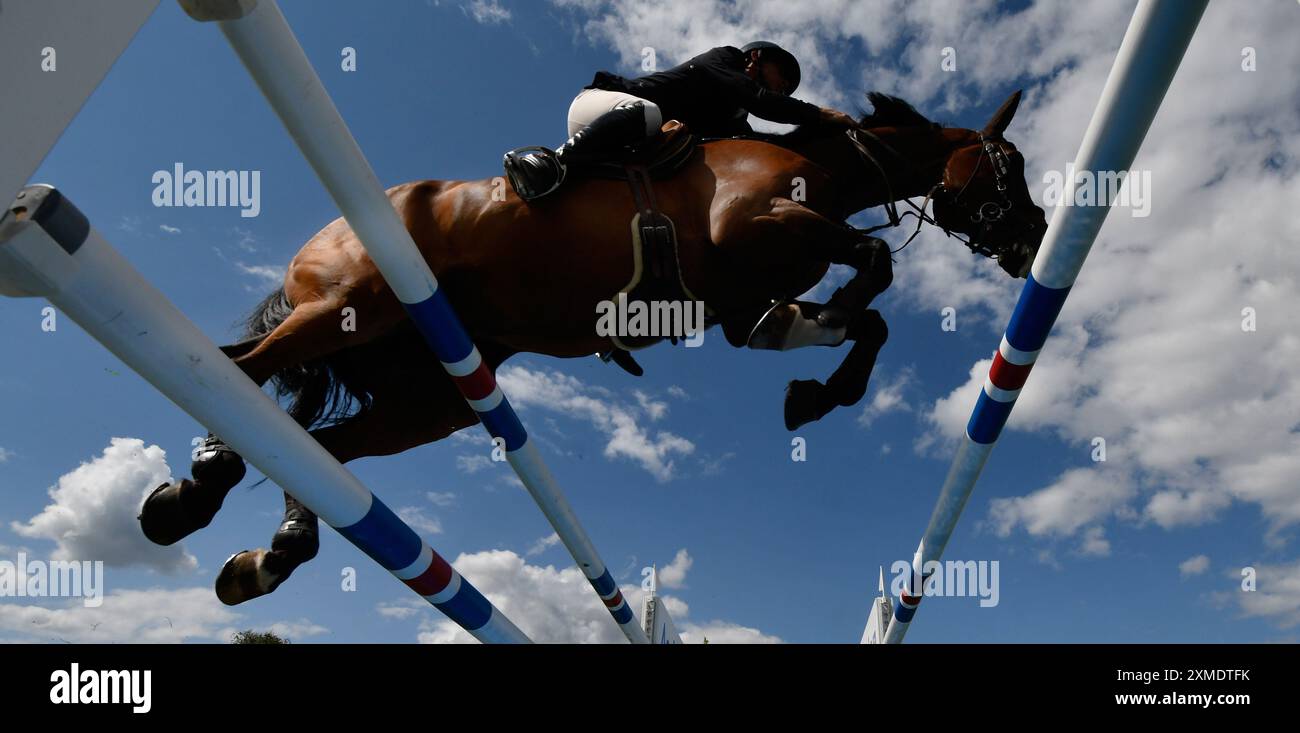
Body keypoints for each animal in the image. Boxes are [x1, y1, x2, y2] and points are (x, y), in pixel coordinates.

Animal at [134, 92, 1045, 608]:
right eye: (1009, 162)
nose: (1034, 240)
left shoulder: (748, 303)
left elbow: (860, 320)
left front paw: (815, 395)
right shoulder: (758, 224)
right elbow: (876, 269)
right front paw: (825, 381)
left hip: (426, 398)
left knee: (322, 444)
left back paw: (266, 553)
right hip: (349, 301)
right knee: (242, 374)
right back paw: (194, 488)